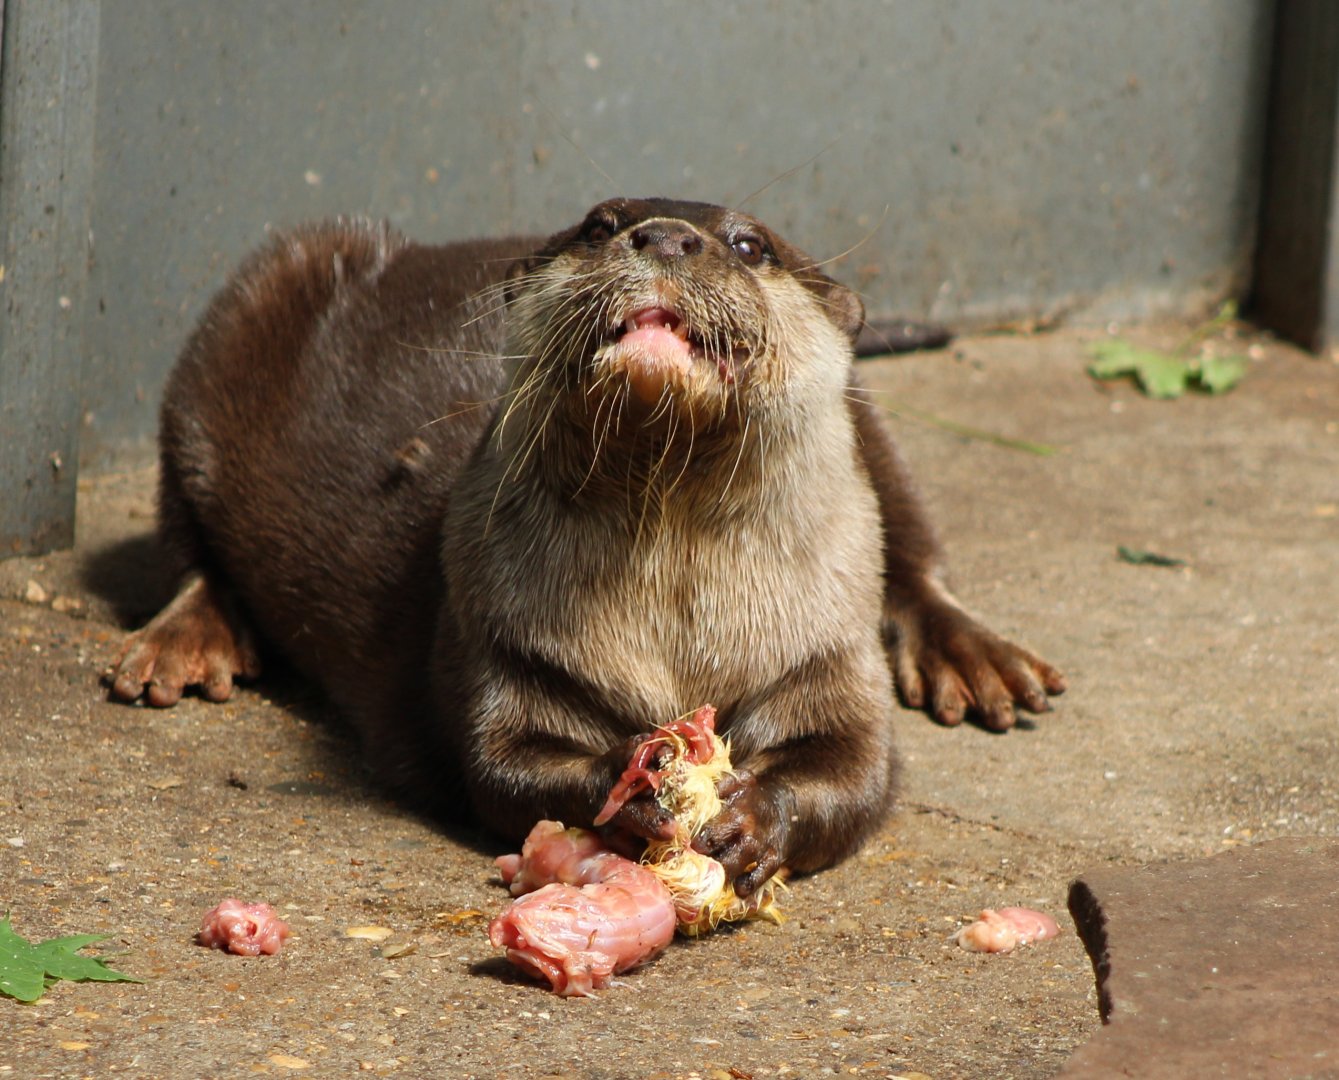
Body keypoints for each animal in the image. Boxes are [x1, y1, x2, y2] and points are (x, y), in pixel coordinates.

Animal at [108, 198, 1064, 896]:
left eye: (749, 243)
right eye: (601, 224)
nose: (666, 234)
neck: (680, 630)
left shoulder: (824, 652)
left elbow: (857, 771)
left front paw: (757, 817)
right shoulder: (498, 636)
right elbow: (504, 764)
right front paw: (634, 788)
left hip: (869, 431)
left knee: (914, 547)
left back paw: (978, 660)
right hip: (248, 308)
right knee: (186, 534)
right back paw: (180, 643)